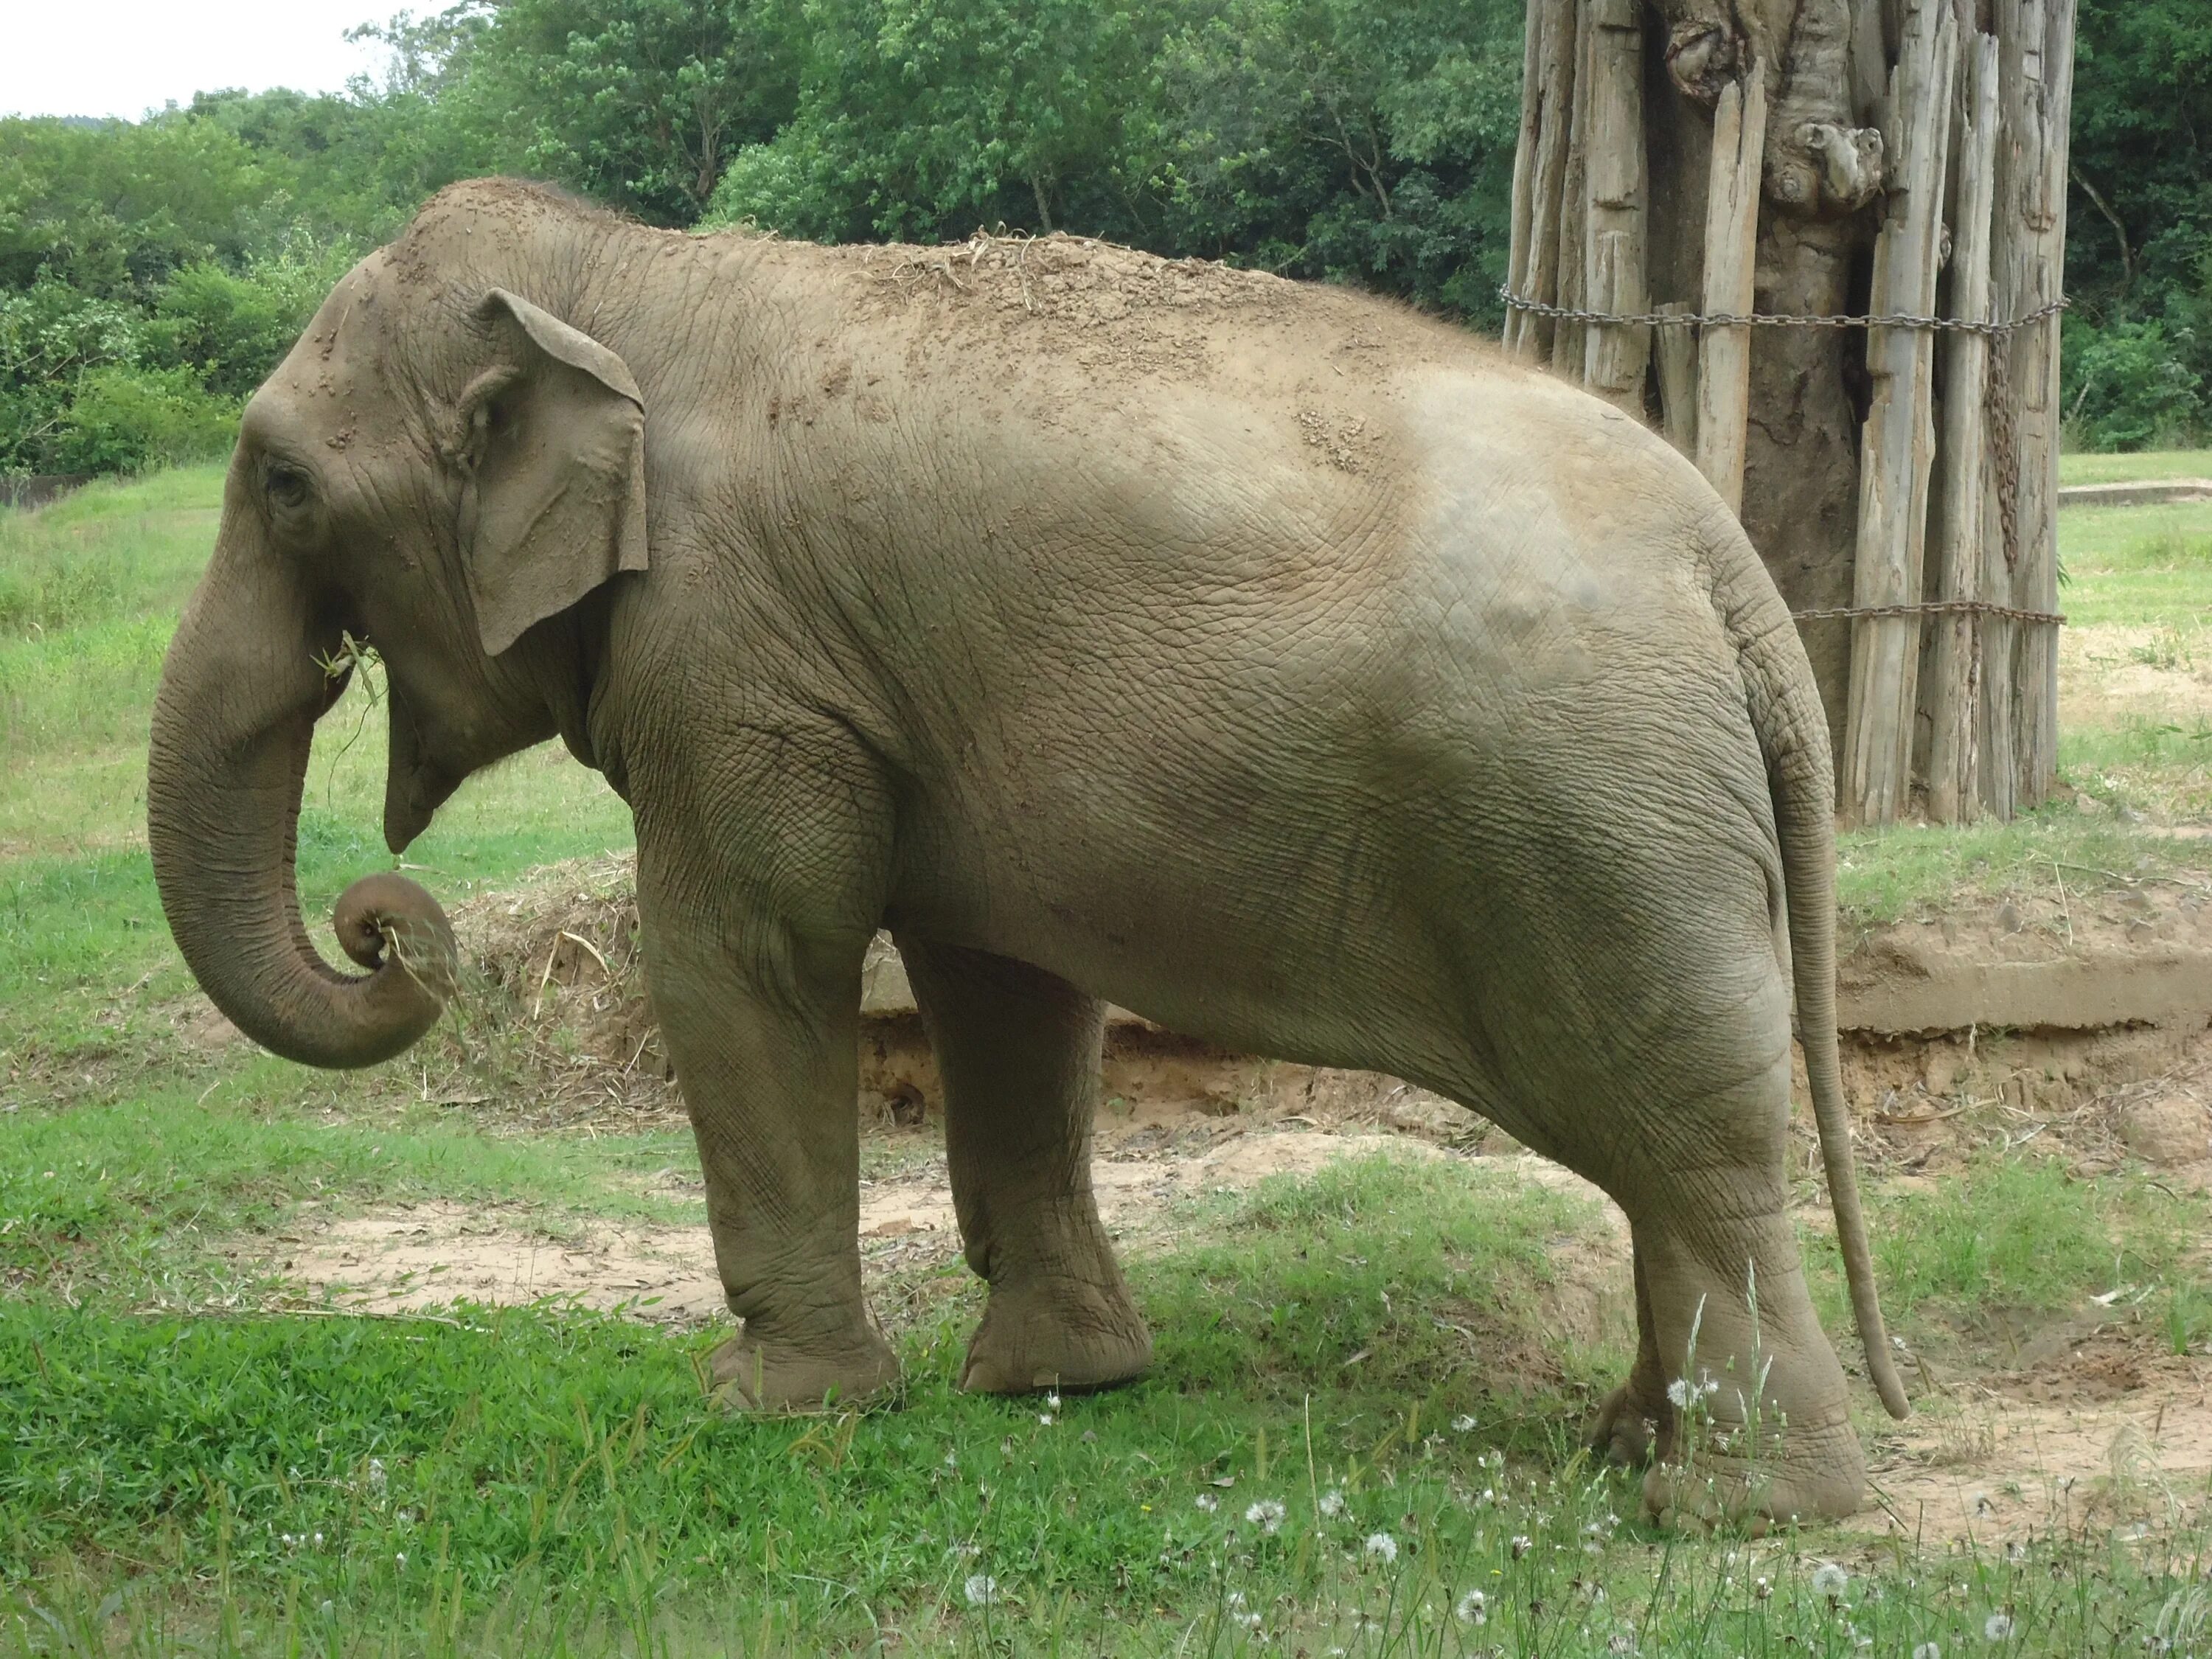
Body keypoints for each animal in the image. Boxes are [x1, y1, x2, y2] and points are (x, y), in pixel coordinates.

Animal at [147, 175, 1911, 1531]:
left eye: (286, 485)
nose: (387, 929)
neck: (617, 274)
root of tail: (1729, 565)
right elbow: (998, 992)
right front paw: (1054, 1385)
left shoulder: (741, 661)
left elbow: (745, 958)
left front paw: (768, 1406)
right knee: (1667, 1152)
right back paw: (1633, 1450)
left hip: (1596, 823)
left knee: (1692, 1145)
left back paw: (1737, 1510)